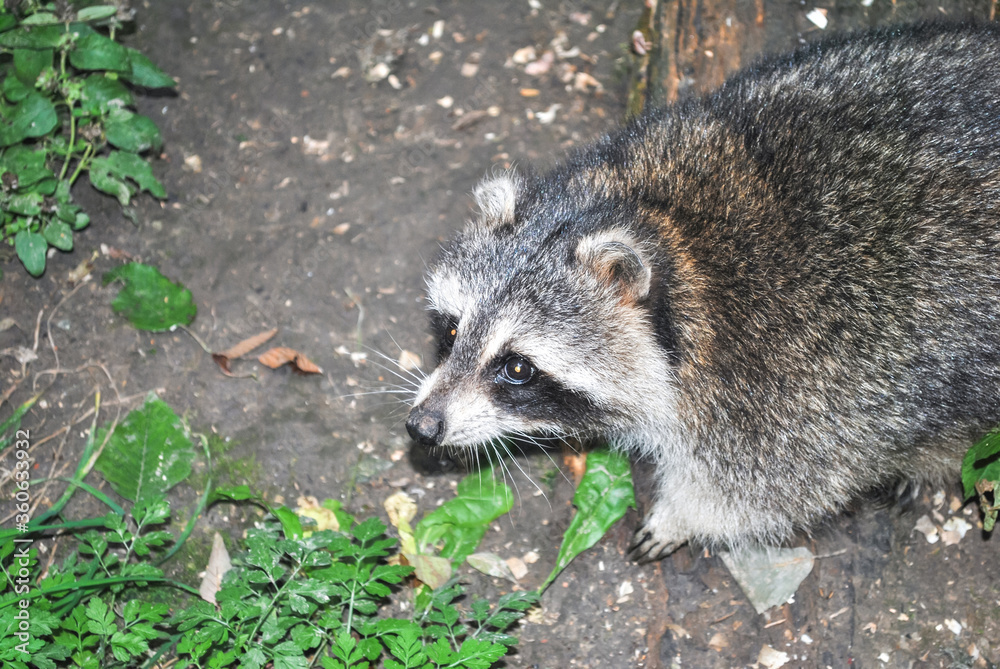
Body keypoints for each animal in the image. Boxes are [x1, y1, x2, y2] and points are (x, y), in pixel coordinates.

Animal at [405, 22, 1000, 561]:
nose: (423, 426)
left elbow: (776, 483)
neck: (662, 227)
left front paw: (682, 516)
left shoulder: (799, 375)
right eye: (452, 329)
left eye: (517, 367)